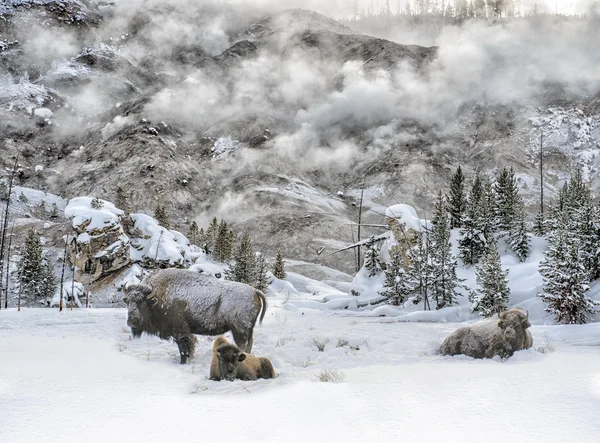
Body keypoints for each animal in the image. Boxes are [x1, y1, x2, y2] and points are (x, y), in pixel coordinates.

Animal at [124, 268, 268, 364]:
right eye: (128, 302)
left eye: (142, 303)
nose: (132, 321)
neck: (158, 298)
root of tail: (254, 291)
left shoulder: (181, 333)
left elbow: (184, 349)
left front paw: (183, 362)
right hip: (247, 330)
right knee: (249, 344)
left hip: (238, 330)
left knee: (242, 345)